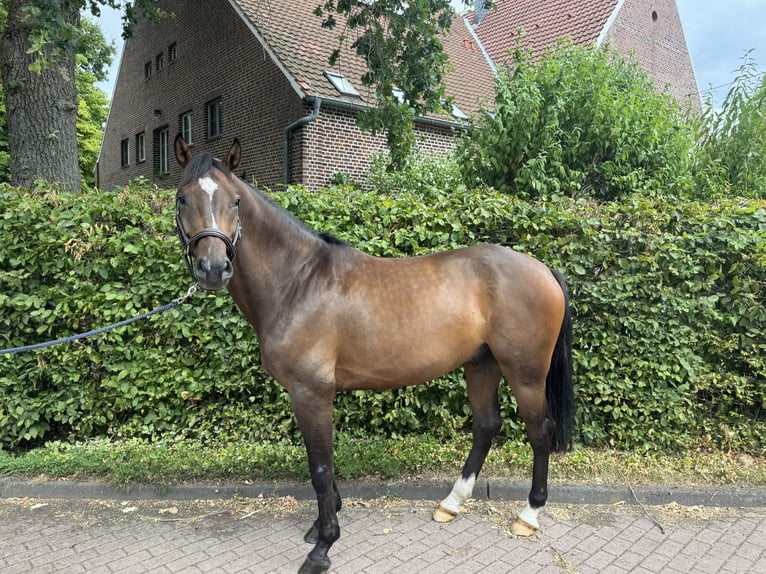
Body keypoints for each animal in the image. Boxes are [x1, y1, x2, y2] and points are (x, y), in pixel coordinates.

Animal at [173, 135, 574, 574]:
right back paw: (451, 504)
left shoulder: (311, 391)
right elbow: (324, 464)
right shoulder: (311, 395)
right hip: (481, 365)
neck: (299, 281)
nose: (213, 269)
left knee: (540, 433)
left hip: (525, 374)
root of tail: (542, 269)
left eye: (235, 201)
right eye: (181, 198)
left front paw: (322, 548)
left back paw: (529, 515)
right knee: (486, 426)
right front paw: (320, 527)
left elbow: (319, 467)